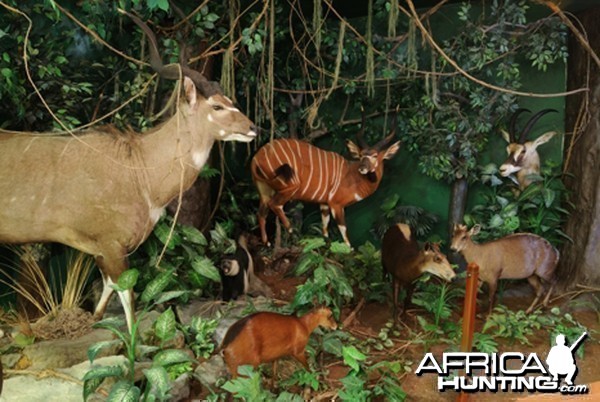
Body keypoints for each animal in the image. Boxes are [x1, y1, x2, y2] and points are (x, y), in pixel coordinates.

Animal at [0, 11, 255, 330]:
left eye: (231, 102)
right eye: (218, 107)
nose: (252, 128)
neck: (138, 169)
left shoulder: (102, 249)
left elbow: (108, 289)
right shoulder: (112, 244)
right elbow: (128, 301)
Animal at [251, 111, 400, 247]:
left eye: (375, 156)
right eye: (361, 155)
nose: (362, 168)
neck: (353, 176)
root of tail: (256, 159)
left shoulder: (324, 203)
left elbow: (325, 225)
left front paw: (325, 243)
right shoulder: (336, 204)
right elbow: (343, 230)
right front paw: (348, 250)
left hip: (264, 189)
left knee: (261, 213)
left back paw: (267, 243)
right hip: (290, 186)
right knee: (275, 204)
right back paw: (292, 230)